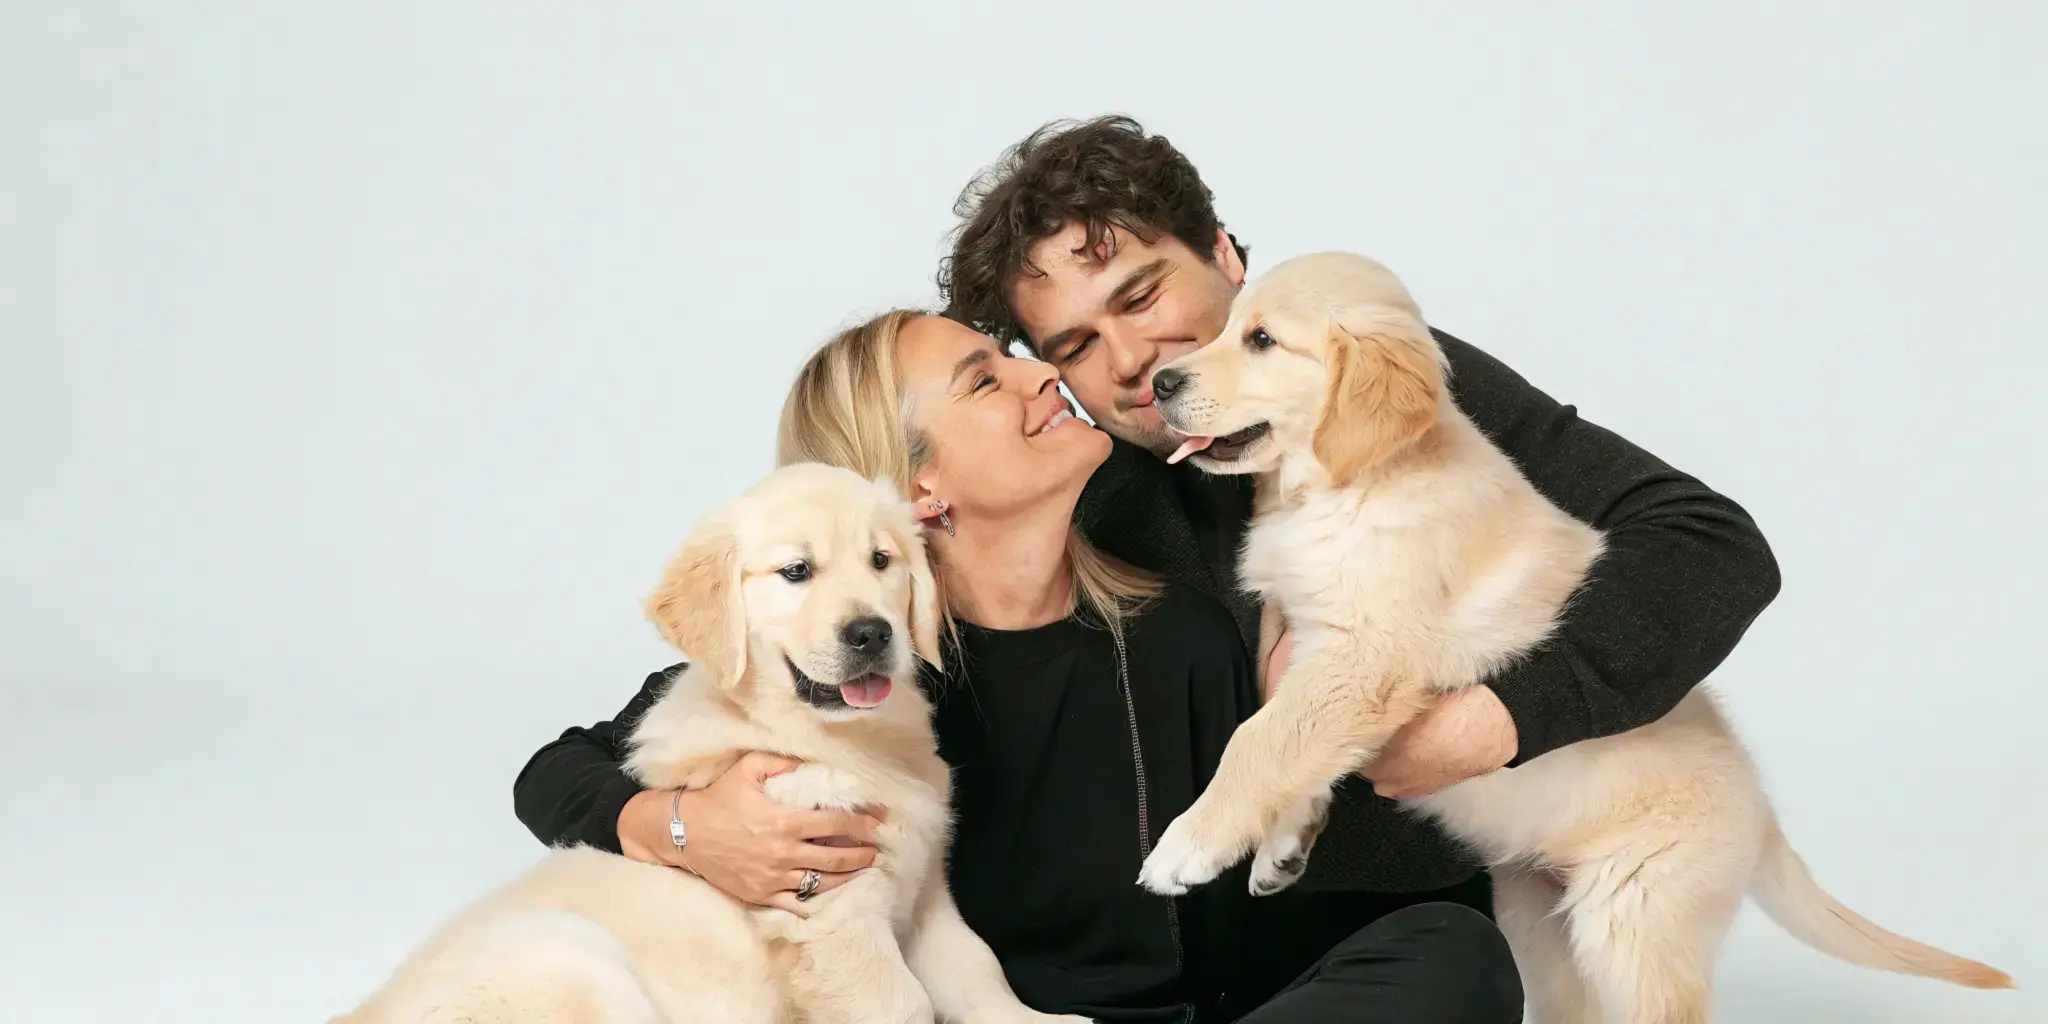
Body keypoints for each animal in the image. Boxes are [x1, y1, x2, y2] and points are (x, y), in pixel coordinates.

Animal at [1130, 249, 2007, 1024]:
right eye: (1224, 327)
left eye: (1262, 340)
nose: (1161, 382)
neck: (1348, 488)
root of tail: (1760, 809)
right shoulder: (1305, 636)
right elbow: (1292, 738)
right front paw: (1284, 841)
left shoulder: (1365, 659)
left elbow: (1264, 739)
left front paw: (1190, 842)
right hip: (1540, 924)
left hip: (1637, 921)